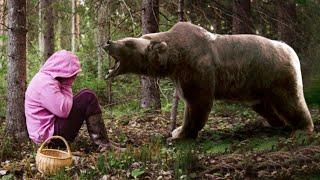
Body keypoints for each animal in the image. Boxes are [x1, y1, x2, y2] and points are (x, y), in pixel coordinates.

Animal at [104, 21, 314, 139]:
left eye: (127, 43)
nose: (108, 42)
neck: (175, 57)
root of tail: (290, 50)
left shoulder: (197, 67)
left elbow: (197, 102)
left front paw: (179, 132)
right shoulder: (180, 74)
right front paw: (177, 131)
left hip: (275, 74)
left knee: (290, 101)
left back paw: (303, 127)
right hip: (257, 86)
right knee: (265, 105)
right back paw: (274, 123)